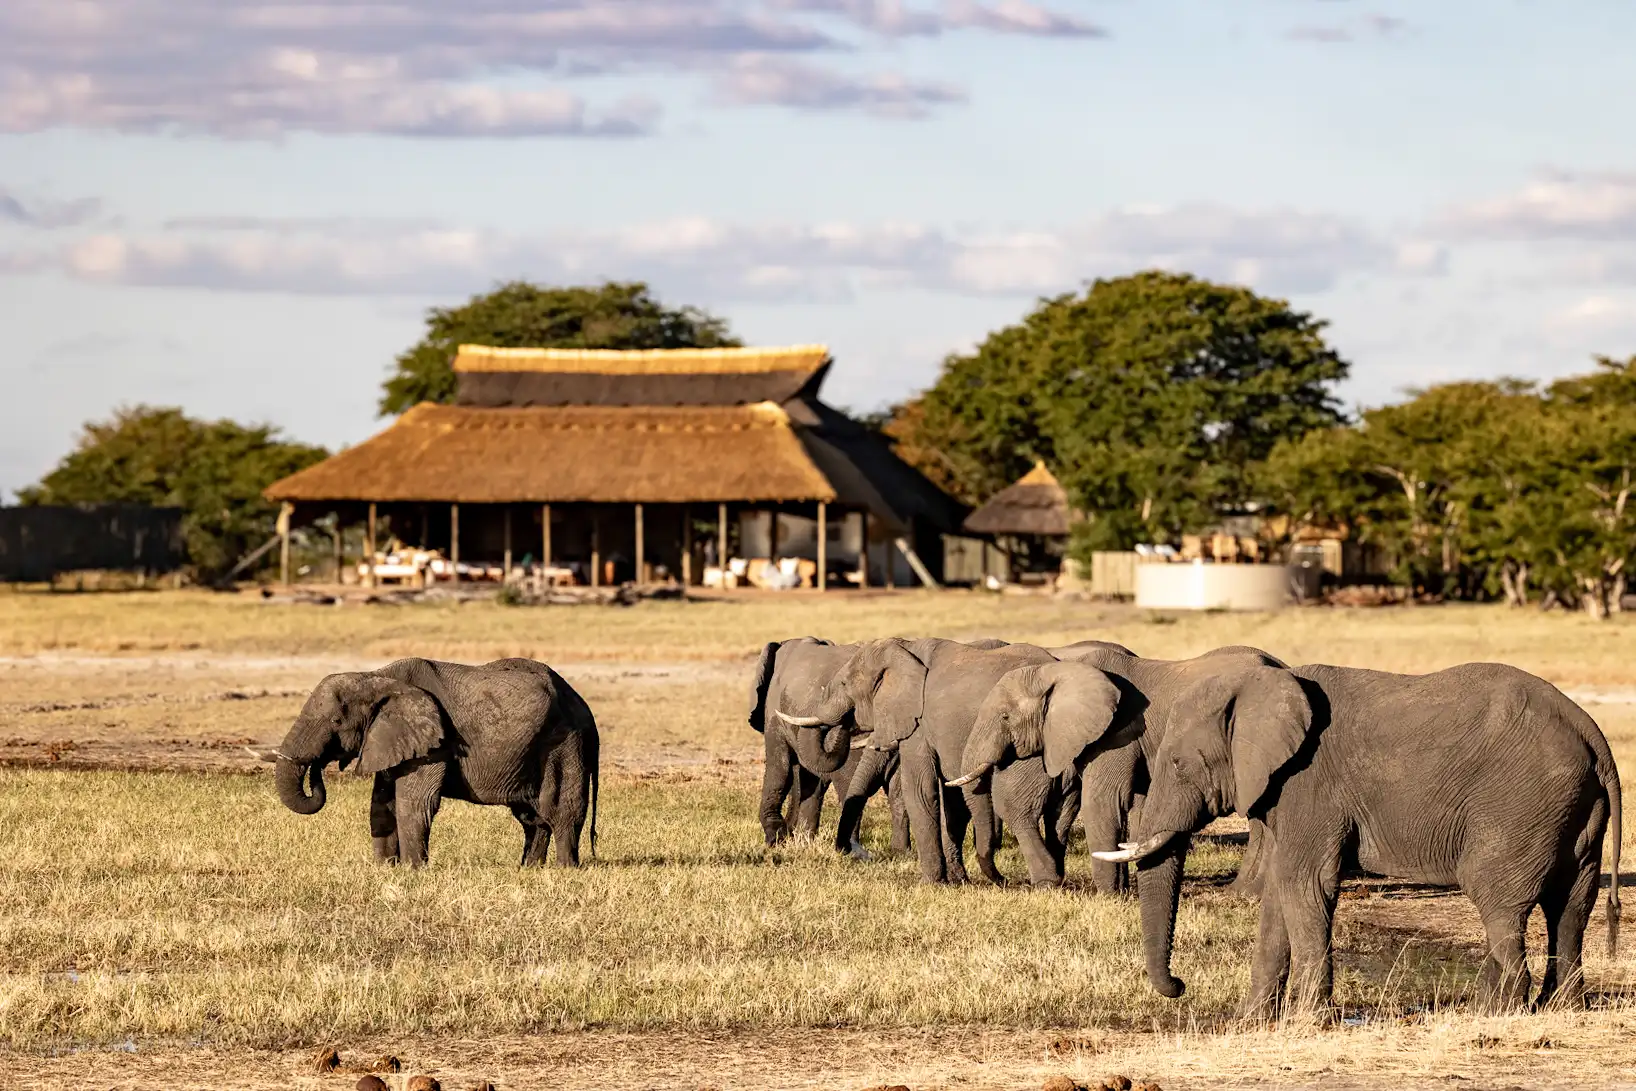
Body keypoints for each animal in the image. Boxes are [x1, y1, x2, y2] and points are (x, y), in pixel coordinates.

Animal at [249, 656, 598, 868]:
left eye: (336, 721)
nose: (319, 770)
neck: (378, 678)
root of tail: (583, 704)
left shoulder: (434, 742)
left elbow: (415, 802)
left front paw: (413, 870)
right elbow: (382, 803)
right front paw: (385, 869)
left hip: (566, 743)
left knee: (561, 810)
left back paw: (565, 869)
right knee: (532, 817)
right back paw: (529, 869)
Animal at [748, 637, 910, 855]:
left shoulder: (773, 713)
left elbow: (780, 766)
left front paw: (775, 839)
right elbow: (810, 778)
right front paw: (802, 840)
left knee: (849, 787)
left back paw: (852, 851)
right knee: (899, 794)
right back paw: (900, 853)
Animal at [1094, 661, 1624, 1015]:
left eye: (1179, 763)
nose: (1180, 986)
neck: (1262, 687)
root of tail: (1594, 735)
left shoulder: (1309, 784)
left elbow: (1307, 885)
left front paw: (1307, 1022)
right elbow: (1280, 894)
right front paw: (1252, 1022)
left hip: (1519, 805)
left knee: (1501, 903)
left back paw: (1493, 1013)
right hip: (1571, 811)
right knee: (1570, 905)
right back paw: (1559, 1007)